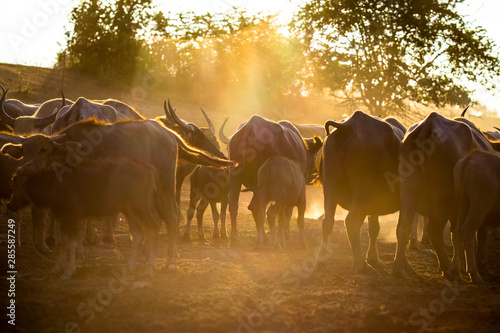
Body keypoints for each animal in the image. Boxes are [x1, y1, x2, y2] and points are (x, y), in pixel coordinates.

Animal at [7, 157, 162, 278]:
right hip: (129, 210)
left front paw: (69, 271)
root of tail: (150, 170)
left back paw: (150, 269)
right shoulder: (64, 218)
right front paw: (56, 268)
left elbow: (71, 243)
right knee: (138, 233)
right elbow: (63, 242)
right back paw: (129, 267)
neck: (54, 183)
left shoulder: (72, 216)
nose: (10, 205)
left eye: (14, 184)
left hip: (140, 207)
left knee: (153, 227)